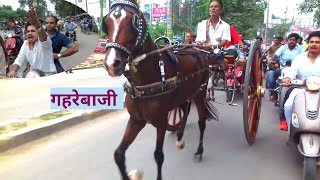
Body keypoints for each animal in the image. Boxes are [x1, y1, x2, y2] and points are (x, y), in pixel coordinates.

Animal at [102, 0, 220, 179]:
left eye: (133, 21)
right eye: (106, 23)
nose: (111, 64)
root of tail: (198, 50)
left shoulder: (161, 120)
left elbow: (158, 155)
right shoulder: (136, 120)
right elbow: (118, 154)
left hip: (200, 92)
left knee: (201, 121)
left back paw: (199, 151)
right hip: (184, 93)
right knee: (185, 108)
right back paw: (179, 135)